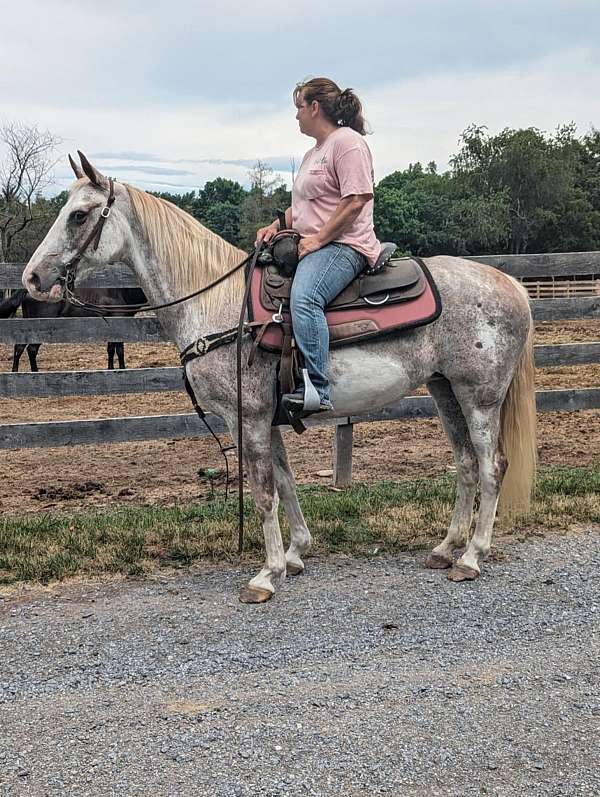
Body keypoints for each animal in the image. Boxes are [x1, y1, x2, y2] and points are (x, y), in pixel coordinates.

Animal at [0, 288, 145, 372]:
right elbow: (119, 350)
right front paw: (122, 369)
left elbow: (110, 350)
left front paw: (111, 369)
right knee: (31, 349)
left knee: (19, 348)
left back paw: (16, 372)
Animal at [22, 152, 536, 604]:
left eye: (79, 215)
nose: (32, 277)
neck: (217, 305)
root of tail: (510, 284)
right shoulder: (268, 418)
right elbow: (286, 483)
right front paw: (294, 555)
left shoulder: (245, 418)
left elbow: (264, 492)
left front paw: (265, 576)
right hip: (444, 390)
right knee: (466, 464)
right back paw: (445, 549)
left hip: (480, 398)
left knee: (491, 466)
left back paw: (471, 557)